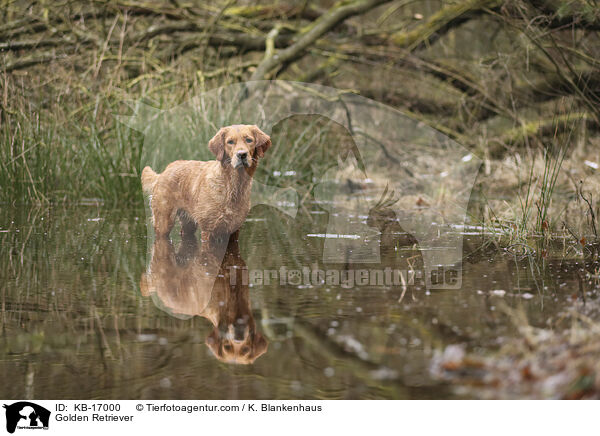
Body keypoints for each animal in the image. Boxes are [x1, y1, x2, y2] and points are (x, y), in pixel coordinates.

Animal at [141, 124, 272, 240]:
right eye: (230, 142)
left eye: (249, 140)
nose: (242, 155)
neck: (232, 185)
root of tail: (163, 172)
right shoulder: (208, 230)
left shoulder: (234, 231)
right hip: (163, 222)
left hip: (188, 224)